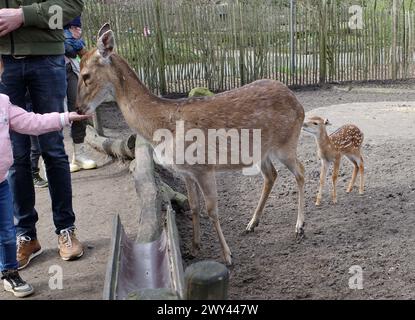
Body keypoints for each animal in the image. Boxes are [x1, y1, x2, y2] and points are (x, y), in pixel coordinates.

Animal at [77, 24, 306, 264]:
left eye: (86, 75)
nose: (78, 108)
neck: (163, 128)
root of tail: (298, 103)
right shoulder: (186, 172)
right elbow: (194, 207)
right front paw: (194, 248)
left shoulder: (204, 167)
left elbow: (211, 210)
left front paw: (227, 255)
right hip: (262, 152)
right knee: (271, 175)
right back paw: (252, 223)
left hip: (287, 144)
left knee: (301, 171)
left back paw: (299, 226)